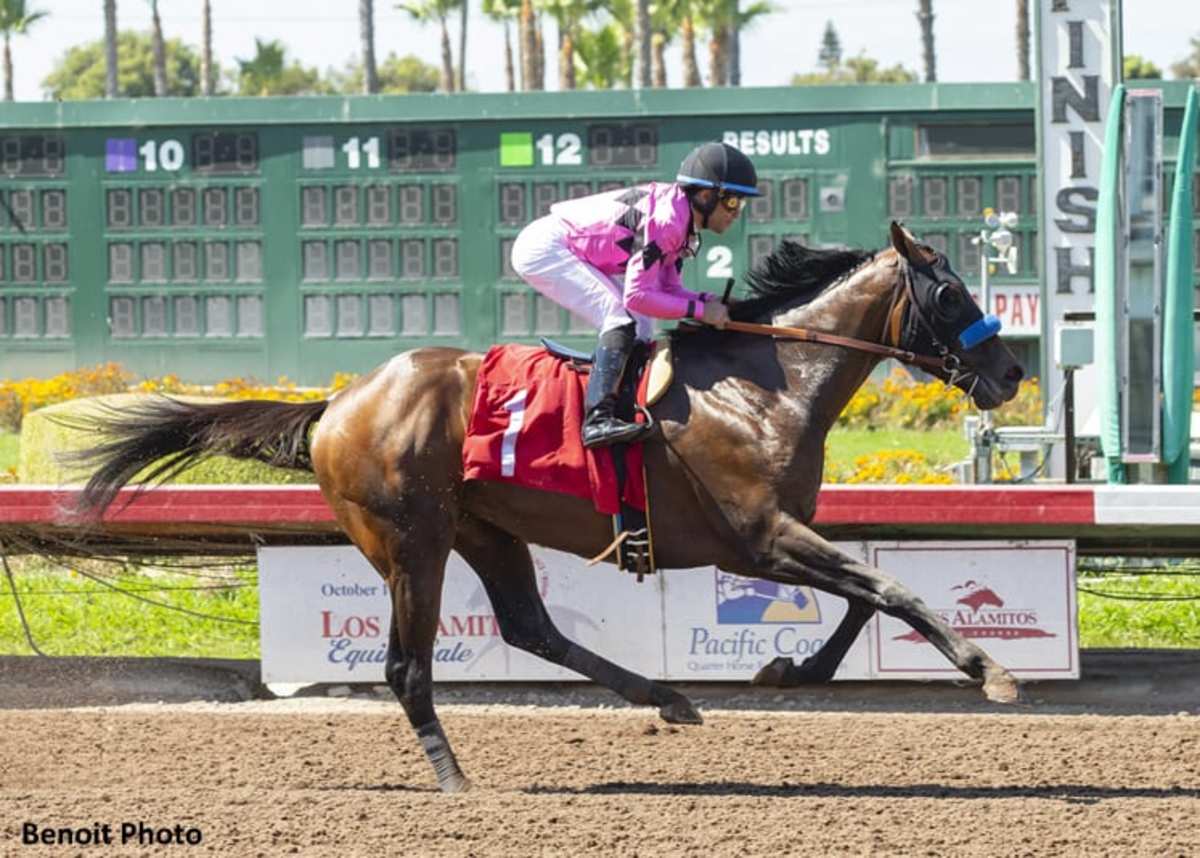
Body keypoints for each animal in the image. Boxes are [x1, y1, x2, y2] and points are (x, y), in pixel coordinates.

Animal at [72, 222, 1022, 792]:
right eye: (950, 295)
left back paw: (666, 699)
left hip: (487, 530)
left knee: (530, 626)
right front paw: (990, 670)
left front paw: (791, 669)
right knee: (407, 667)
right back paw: (453, 777)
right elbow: (887, 590)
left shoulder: (779, 536)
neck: (767, 387)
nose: (1011, 372)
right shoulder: (755, 537)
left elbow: (868, 600)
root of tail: (338, 404)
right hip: (410, 539)